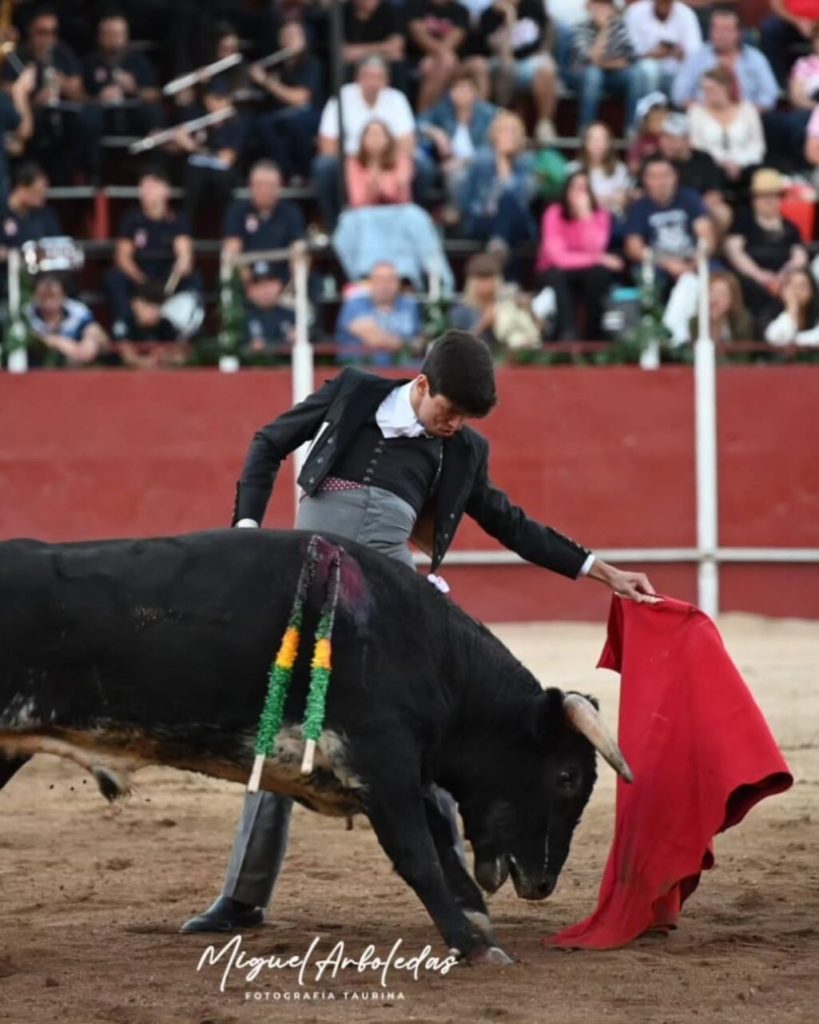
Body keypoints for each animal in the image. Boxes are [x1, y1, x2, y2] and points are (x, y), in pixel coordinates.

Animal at [0, 528, 634, 958]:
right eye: (567, 777)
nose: (544, 883)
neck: (423, 644)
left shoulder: (398, 770)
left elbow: (438, 842)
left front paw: (475, 924)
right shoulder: (381, 760)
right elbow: (419, 855)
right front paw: (473, 945)